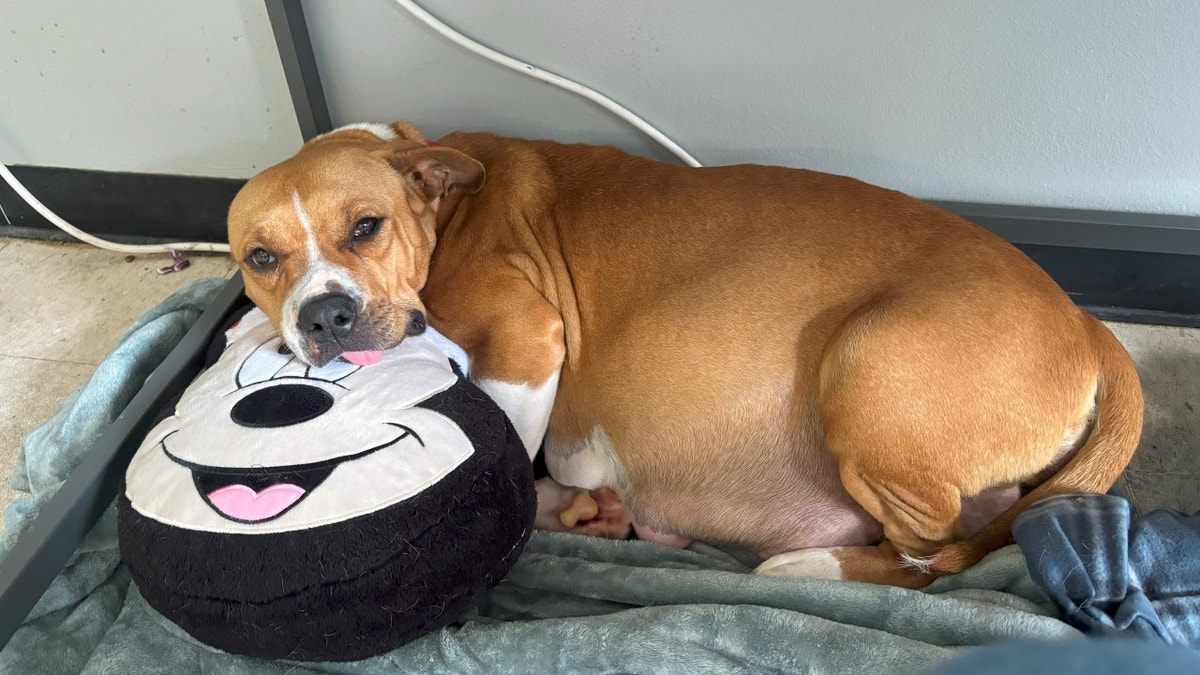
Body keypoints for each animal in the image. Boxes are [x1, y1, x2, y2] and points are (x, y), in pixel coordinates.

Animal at [226, 123, 1142, 586]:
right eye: (258, 258)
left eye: (366, 226)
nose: (327, 314)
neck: (441, 204)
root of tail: (1088, 323)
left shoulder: (524, 340)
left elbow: (508, 442)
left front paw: (544, 500)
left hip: (869, 364)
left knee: (934, 557)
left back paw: (806, 565)